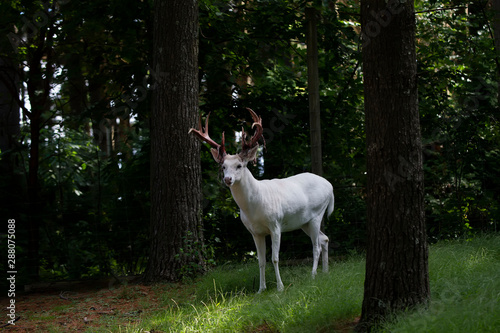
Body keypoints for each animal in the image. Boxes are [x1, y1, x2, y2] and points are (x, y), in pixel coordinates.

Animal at [189, 108, 334, 290]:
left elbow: (275, 258)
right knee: (324, 239)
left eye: (239, 165)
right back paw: (325, 272)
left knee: (316, 246)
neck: (254, 208)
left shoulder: (275, 225)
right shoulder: (255, 232)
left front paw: (280, 287)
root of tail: (330, 186)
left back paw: (313, 275)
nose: (228, 179)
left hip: (317, 214)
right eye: (223, 166)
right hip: (303, 222)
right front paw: (261, 289)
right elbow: (261, 261)